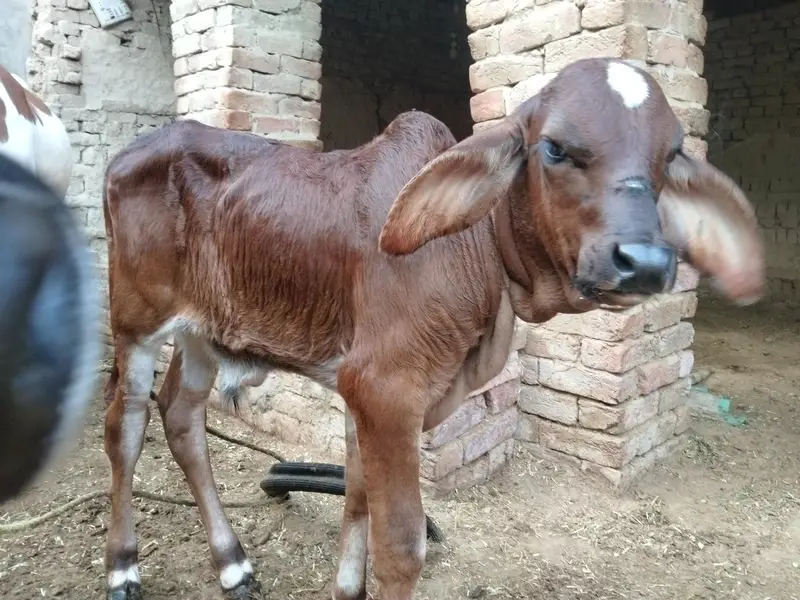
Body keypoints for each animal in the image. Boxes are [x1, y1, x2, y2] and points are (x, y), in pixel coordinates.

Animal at [101, 58, 764, 600]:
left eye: (670, 155)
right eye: (554, 148)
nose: (644, 261)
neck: (476, 252)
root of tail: (134, 149)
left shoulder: (362, 391)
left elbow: (357, 499)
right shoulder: (383, 386)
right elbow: (400, 546)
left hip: (202, 332)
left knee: (181, 416)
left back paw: (233, 564)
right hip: (134, 322)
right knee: (125, 426)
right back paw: (123, 567)